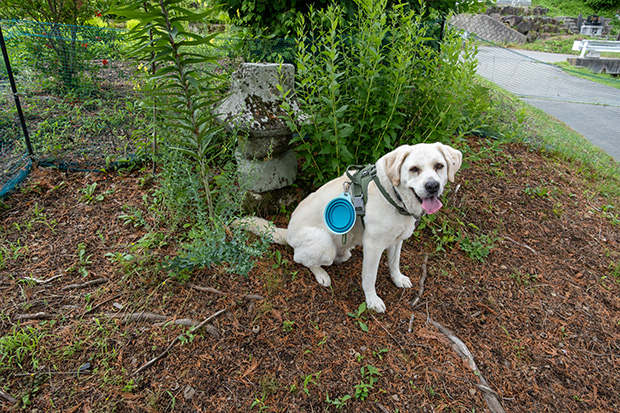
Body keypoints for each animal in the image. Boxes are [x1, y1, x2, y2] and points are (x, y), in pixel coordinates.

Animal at [239, 142, 462, 313]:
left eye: (439, 166)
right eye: (414, 169)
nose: (432, 186)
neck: (394, 195)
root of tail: (288, 232)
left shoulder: (397, 240)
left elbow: (394, 263)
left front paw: (397, 279)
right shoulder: (373, 247)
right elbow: (370, 277)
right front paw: (372, 301)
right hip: (323, 244)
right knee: (300, 258)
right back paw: (321, 274)